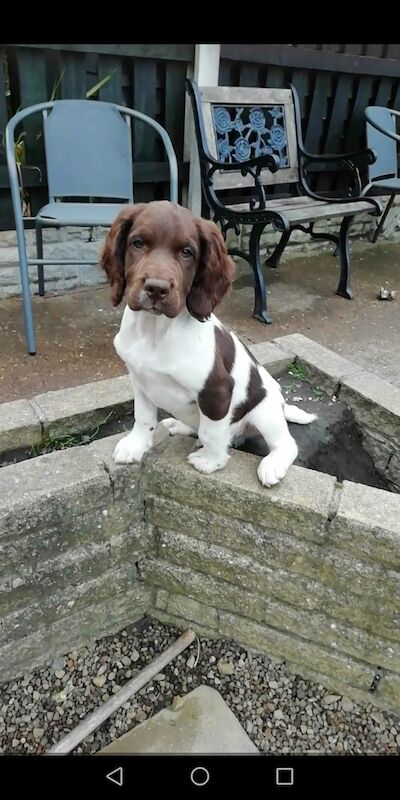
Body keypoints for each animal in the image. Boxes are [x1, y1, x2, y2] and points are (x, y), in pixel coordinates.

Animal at [101, 202, 316, 488]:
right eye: (137, 243)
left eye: (187, 252)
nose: (156, 289)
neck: (156, 330)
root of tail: (281, 406)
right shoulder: (140, 379)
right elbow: (143, 417)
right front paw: (135, 446)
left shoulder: (218, 390)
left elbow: (211, 431)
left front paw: (211, 462)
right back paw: (180, 426)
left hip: (265, 411)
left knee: (285, 443)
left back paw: (272, 464)